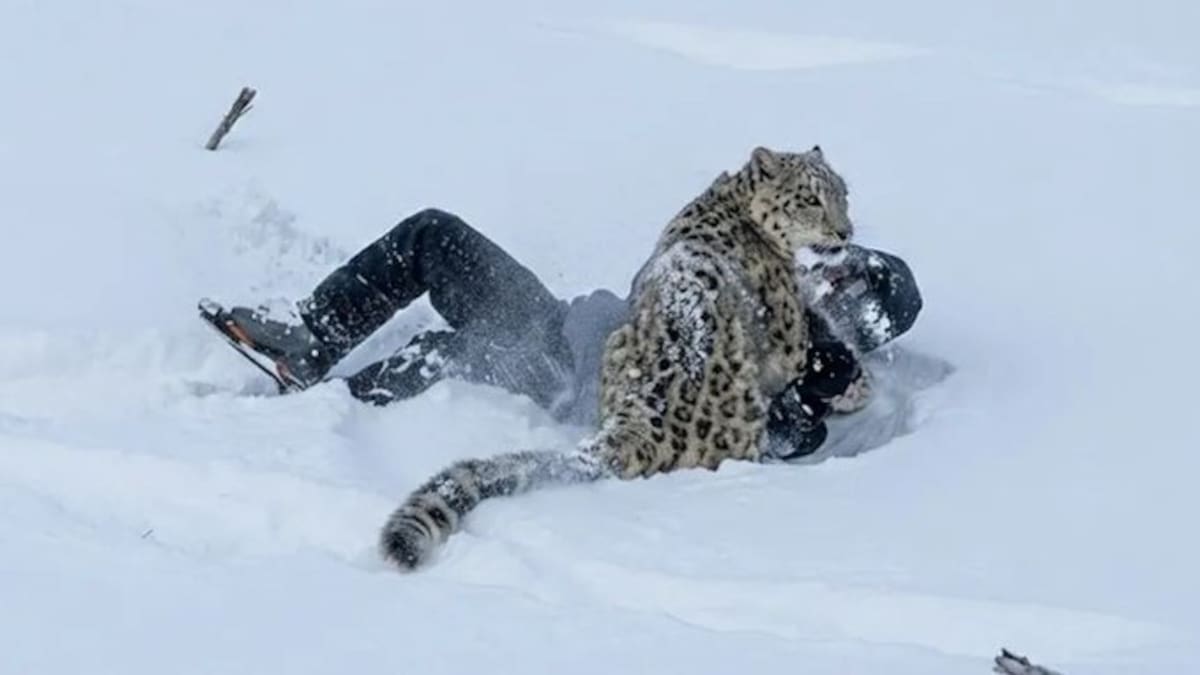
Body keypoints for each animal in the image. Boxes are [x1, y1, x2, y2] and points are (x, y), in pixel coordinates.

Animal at [379, 145, 855, 570]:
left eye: (843, 193)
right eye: (810, 199)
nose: (845, 232)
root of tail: (642, 422)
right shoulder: (789, 344)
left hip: (615, 343)